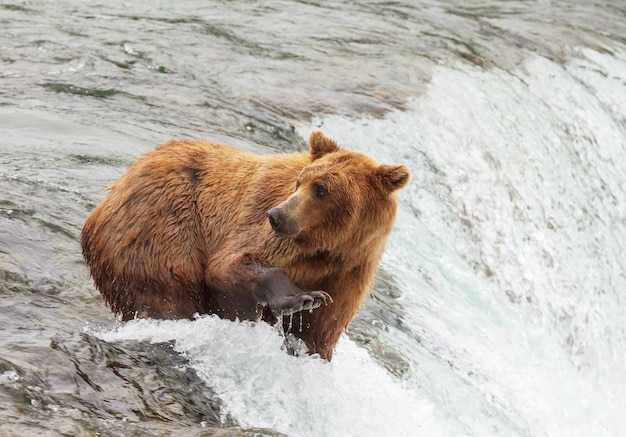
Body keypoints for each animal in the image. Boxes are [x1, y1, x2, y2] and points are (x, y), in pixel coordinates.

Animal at [80, 131, 408, 360]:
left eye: (322, 189)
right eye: (301, 182)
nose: (277, 215)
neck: (330, 246)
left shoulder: (352, 268)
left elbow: (322, 329)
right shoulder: (269, 233)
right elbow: (229, 264)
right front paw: (304, 297)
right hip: (161, 225)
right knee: (167, 293)